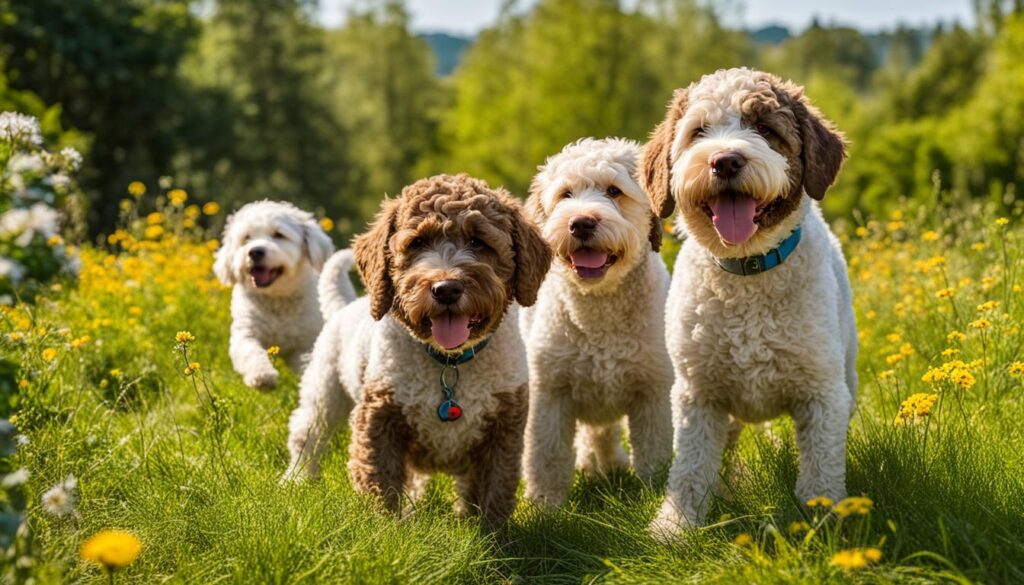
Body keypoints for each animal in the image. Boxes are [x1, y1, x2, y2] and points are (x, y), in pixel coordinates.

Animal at [212, 200, 337, 389]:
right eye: (246, 238)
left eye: (279, 235)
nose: (255, 251)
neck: (277, 299)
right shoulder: (245, 333)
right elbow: (250, 352)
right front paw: (262, 375)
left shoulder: (306, 343)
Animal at [520, 138, 679, 508]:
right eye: (565, 194)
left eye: (614, 191)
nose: (580, 223)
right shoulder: (550, 393)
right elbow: (546, 456)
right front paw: (543, 506)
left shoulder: (653, 391)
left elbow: (654, 453)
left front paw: (654, 492)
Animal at [643, 67, 860, 540]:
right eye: (698, 132)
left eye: (764, 129)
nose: (725, 160)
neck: (748, 273)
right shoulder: (697, 395)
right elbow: (690, 468)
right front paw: (676, 526)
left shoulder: (822, 392)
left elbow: (821, 465)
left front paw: (822, 520)